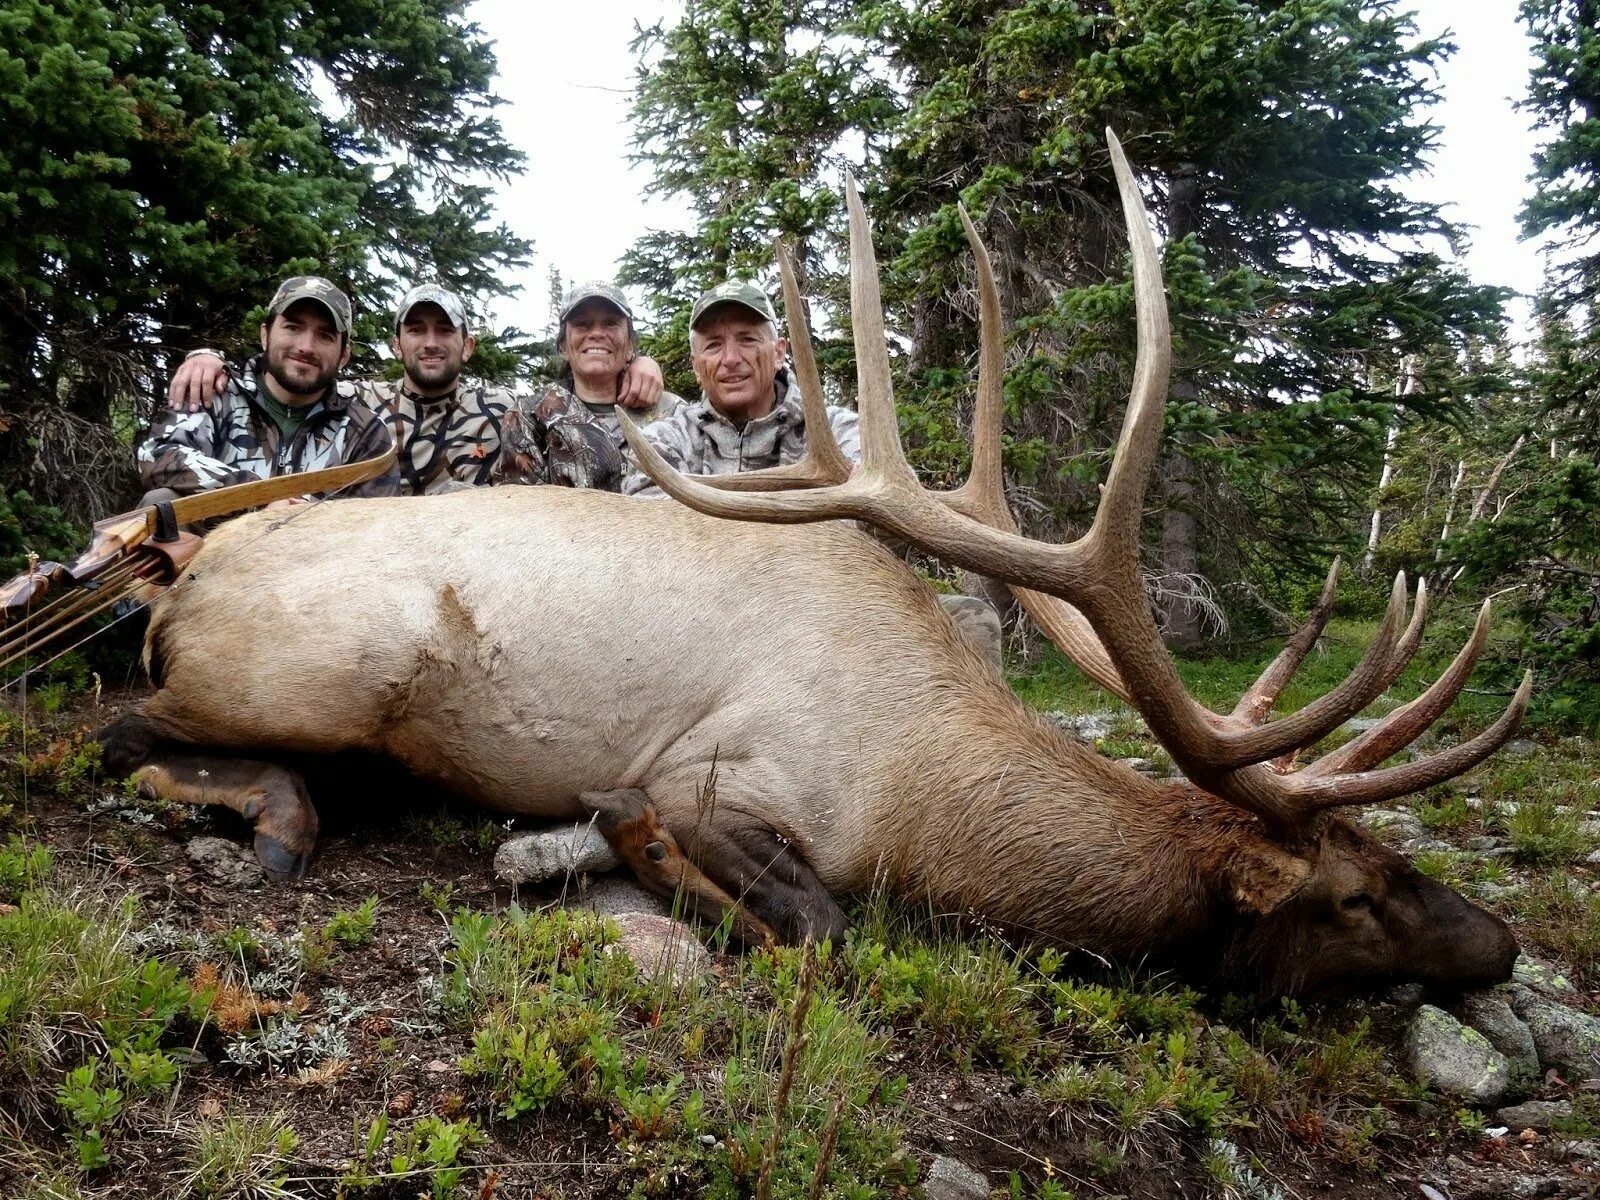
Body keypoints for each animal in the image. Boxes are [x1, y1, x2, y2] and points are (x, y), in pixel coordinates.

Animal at [62, 133, 1529, 998]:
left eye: (1391, 858)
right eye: (1359, 896)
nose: (1503, 942)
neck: (922, 803)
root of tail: (180, 577)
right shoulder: (725, 772)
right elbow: (823, 926)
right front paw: (634, 853)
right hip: (321, 673)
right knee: (117, 733)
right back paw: (275, 819)